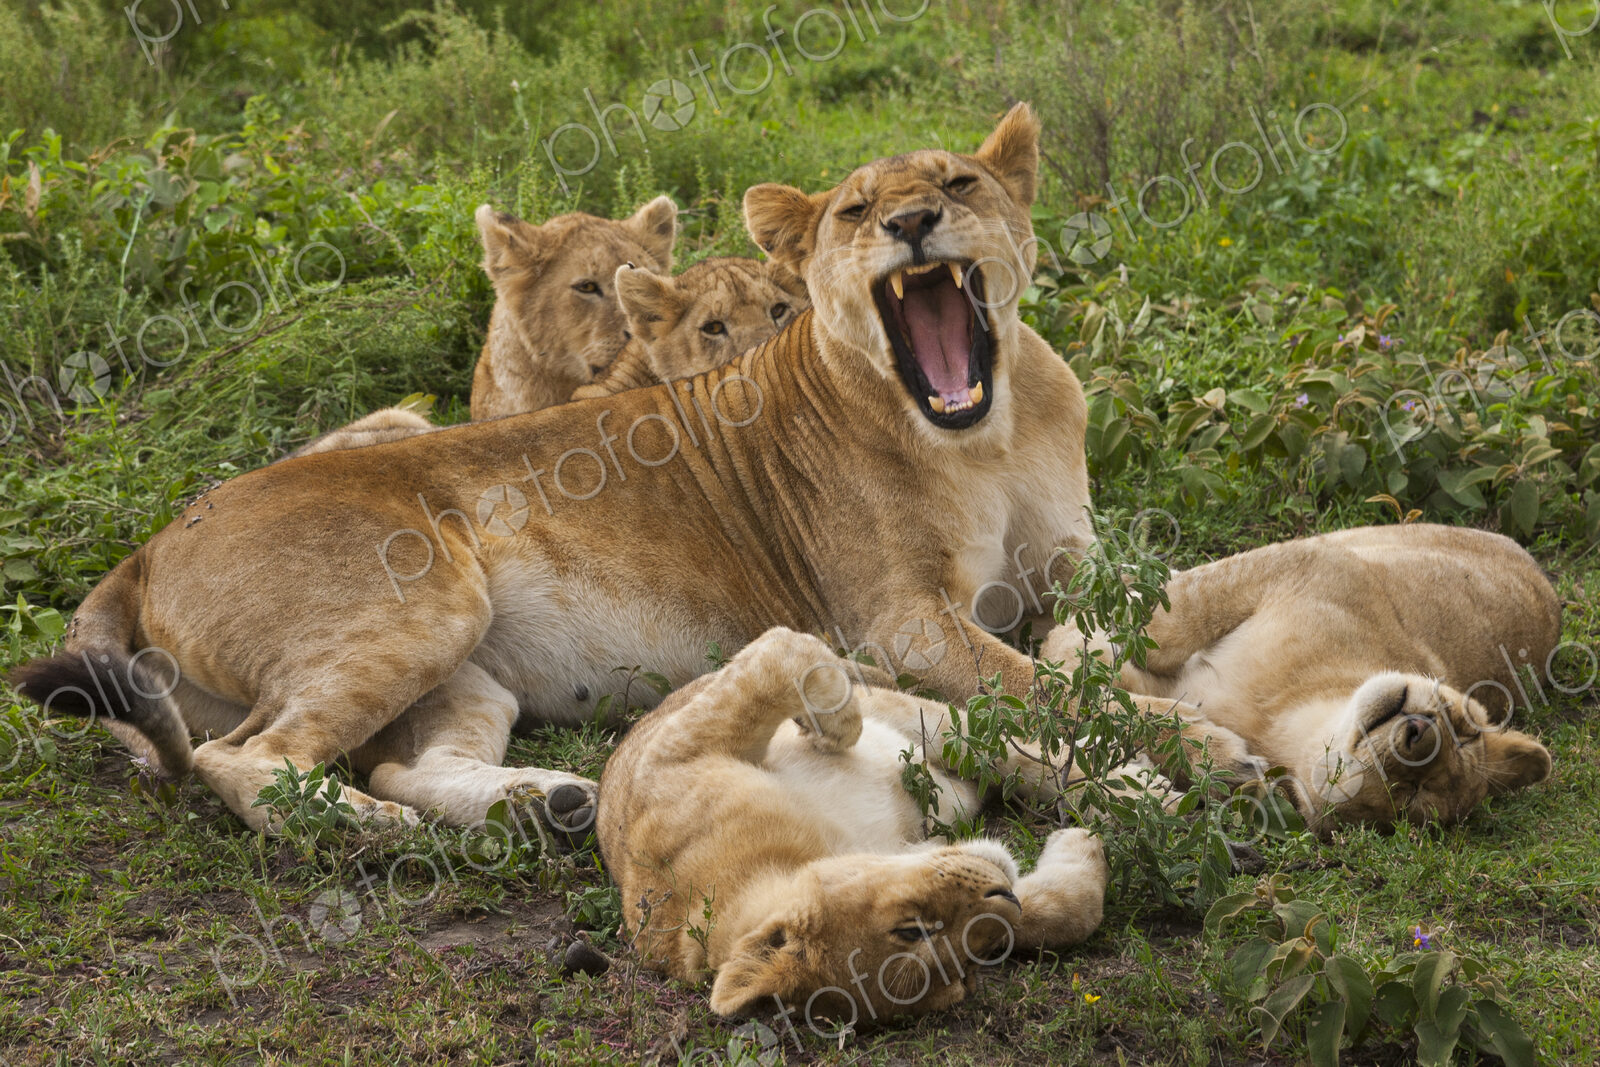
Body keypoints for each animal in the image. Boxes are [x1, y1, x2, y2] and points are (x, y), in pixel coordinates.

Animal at [597, 627, 1109, 1023]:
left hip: (928, 721)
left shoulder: (681, 751)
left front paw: (832, 727)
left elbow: (785, 652)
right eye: (965, 973)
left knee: (1016, 749)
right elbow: (1061, 912)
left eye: (909, 930)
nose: (1003, 895)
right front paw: (1079, 848)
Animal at [1042, 524, 1559, 829]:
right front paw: (1091, 627)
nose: (1418, 731)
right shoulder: (1310, 564)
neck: (1279, 718)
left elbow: (1114, 698)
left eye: (1410, 796)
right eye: (1464, 729)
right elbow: (1167, 622)